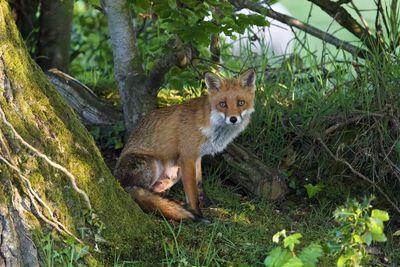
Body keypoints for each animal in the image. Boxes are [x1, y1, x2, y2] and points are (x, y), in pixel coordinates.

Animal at [113, 69, 256, 222]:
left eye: (241, 103)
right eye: (222, 104)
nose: (233, 119)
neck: (211, 125)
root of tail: (117, 180)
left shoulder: (197, 156)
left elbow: (199, 184)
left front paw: (207, 203)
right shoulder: (187, 157)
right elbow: (192, 192)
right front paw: (198, 214)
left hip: (174, 174)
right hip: (152, 164)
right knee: (141, 192)